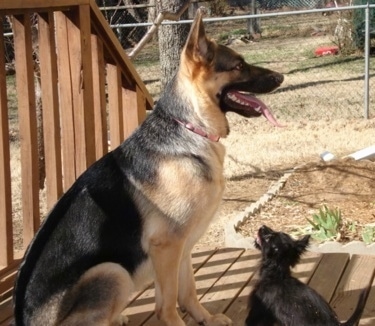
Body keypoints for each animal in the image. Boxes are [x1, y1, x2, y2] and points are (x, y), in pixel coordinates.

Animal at [13, 10, 284, 326]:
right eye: (239, 66)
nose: (281, 77)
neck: (190, 127)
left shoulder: (184, 245)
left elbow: (188, 291)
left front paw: (204, 318)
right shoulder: (166, 247)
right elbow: (166, 305)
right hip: (113, 272)